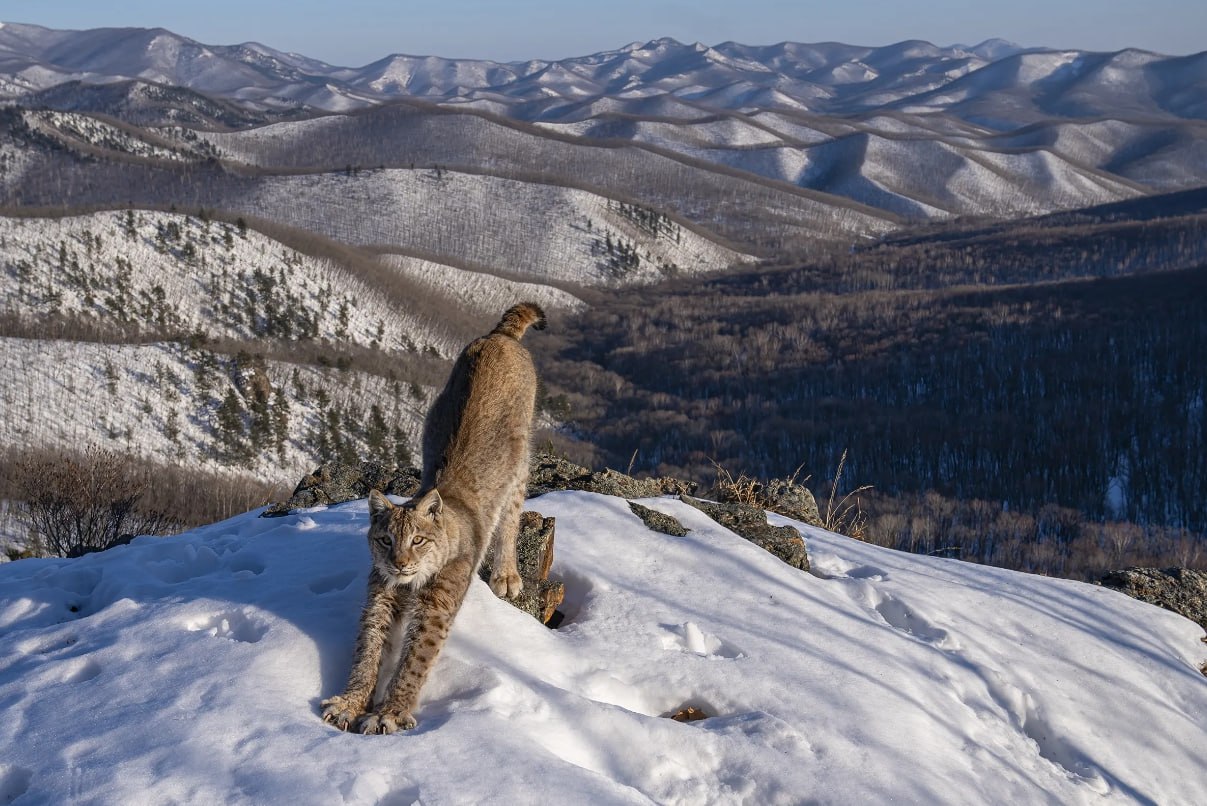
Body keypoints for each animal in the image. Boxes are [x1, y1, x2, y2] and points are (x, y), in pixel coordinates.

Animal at [321, 300, 547, 728]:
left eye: (419, 540)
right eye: (385, 540)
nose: (399, 563)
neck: (411, 583)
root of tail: (498, 337)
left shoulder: (436, 608)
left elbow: (415, 660)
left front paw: (391, 712)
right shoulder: (380, 597)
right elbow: (367, 652)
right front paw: (351, 702)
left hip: (520, 461)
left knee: (510, 517)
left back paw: (507, 574)